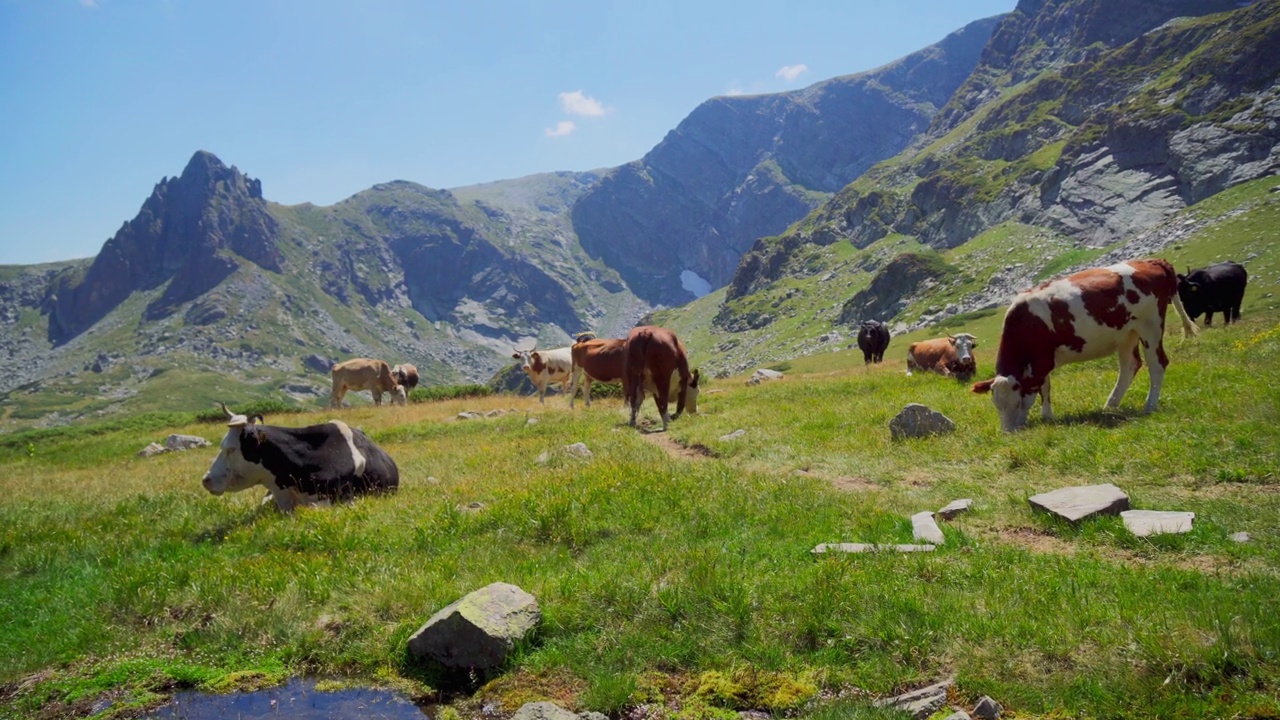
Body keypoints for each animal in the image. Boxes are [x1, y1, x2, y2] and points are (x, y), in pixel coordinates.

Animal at [967, 256, 1198, 427]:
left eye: (1013, 405)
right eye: (996, 405)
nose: (1008, 431)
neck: (1025, 321)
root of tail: (1152, 261)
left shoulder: (1041, 362)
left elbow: (1032, 395)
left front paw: (1026, 421)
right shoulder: (1040, 362)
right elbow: (1045, 388)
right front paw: (1047, 417)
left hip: (1150, 326)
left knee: (1157, 364)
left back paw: (1149, 406)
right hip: (1127, 334)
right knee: (1130, 366)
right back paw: (1110, 405)